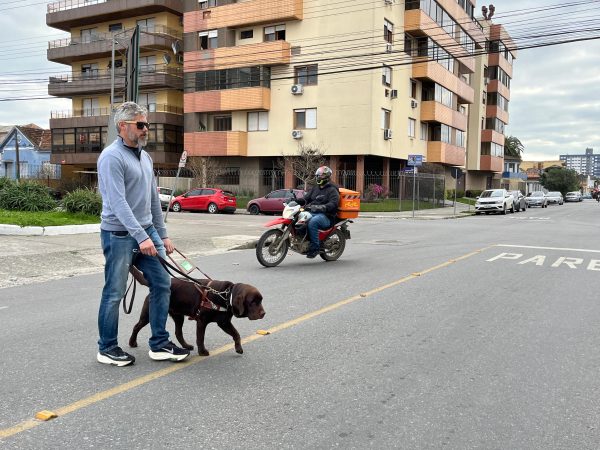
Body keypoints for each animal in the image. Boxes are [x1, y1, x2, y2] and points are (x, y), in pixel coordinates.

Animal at [128, 268, 264, 356]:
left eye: (261, 300)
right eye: (253, 302)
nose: (263, 313)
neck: (225, 295)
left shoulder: (224, 322)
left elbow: (236, 334)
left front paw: (238, 348)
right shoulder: (202, 321)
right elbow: (200, 338)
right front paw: (202, 352)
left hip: (178, 316)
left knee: (178, 332)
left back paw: (186, 346)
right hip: (148, 314)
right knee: (136, 326)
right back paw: (132, 342)